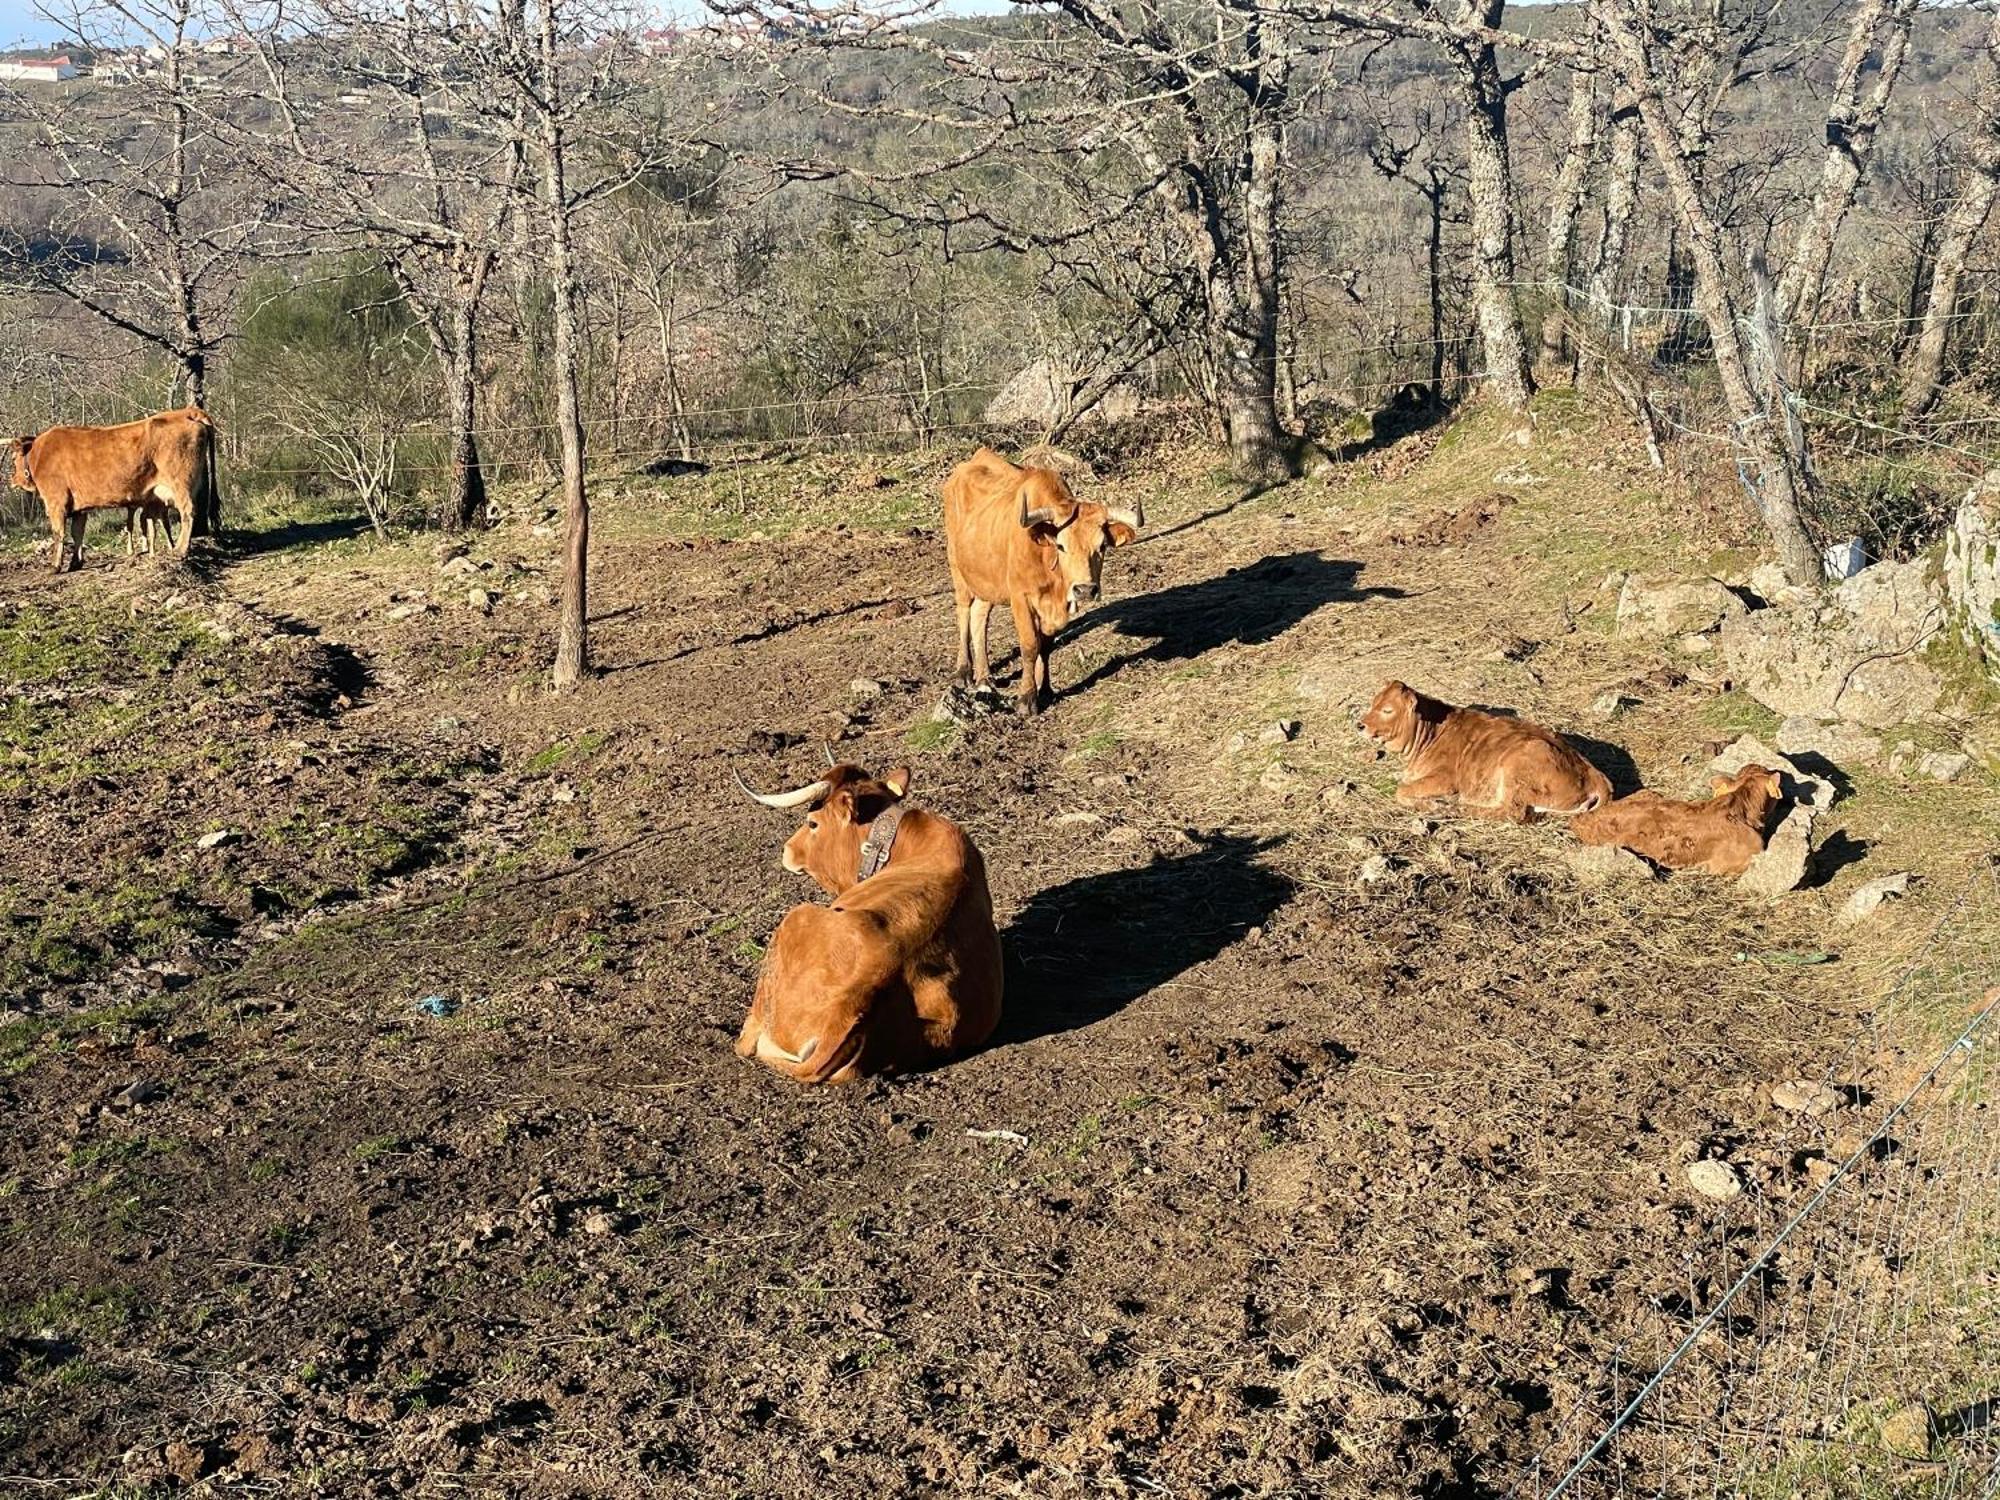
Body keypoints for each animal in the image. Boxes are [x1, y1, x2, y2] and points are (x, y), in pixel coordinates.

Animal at [10, 408, 216, 572]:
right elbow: (78, 533)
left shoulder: (56, 502)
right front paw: (76, 562)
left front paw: (55, 566)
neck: (38, 455)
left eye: (13, 459)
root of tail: (187, 411)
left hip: (180, 483)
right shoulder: (79, 508)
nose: (11, 479)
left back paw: (180, 549)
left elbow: (58, 533)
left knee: (188, 512)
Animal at [940, 446, 1144, 716]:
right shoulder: (1021, 599)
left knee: (979, 617)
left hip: (986, 580)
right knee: (964, 614)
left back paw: (985, 677)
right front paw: (1026, 698)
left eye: (1102, 546)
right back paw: (963, 671)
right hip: (958, 570)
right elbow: (1029, 646)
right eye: (1061, 545)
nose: (1085, 590)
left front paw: (1045, 689)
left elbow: (1045, 646)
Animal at [1352, 680, 1616, 824]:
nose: (1360, 725)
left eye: (1387, 710)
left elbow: (1402, 790)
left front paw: (1430, 804)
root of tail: (1594, 774)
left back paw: (1453, 807)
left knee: (1513, 812)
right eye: (1373, 703)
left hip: (1519, 765)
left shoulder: (1446, 778)